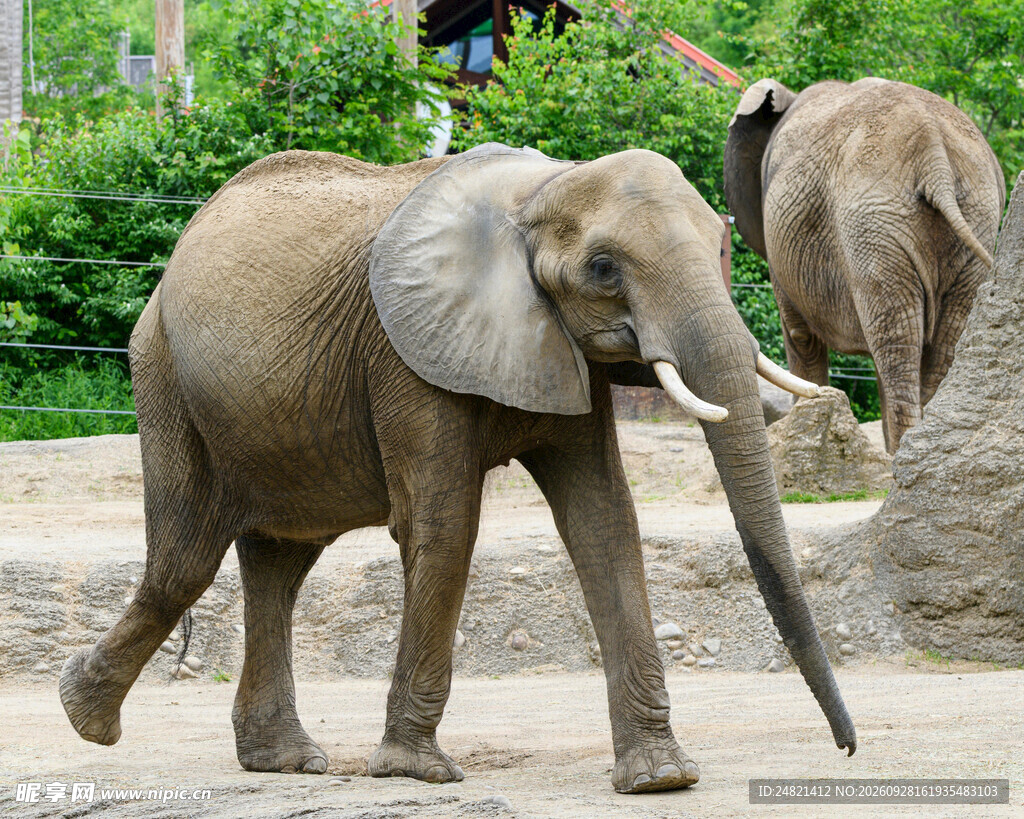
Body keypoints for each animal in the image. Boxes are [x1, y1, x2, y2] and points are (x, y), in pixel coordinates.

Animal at [59, 143, 855, 793]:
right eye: (603, 269)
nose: (847, 750)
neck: (539, 191)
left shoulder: (556, 346)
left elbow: (603, 521)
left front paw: (661, 779)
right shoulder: (403, 352)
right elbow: (443, 524)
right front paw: (418, 771)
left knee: (279, 562)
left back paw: (279, 759)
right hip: (163, 371)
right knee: (187, 558)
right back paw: (84, 716)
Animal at [724, 77, 1006, 451]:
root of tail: (935, 157)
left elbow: (800, 336)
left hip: (871, 226)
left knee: (895, 343)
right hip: (971, 219)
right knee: (934, 346)